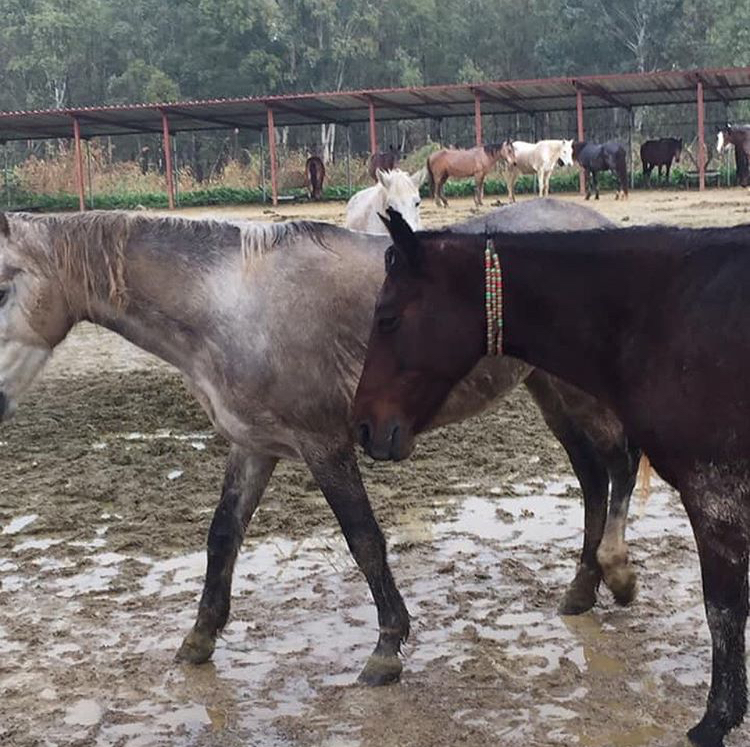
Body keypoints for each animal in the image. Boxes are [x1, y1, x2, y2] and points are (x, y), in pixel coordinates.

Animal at [0, 201, 639, 694]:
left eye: (4, 285)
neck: (232, 306)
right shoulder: (255, 446)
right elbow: (222, 536)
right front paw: (199, 639)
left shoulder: (325, 445)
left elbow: (364, 541)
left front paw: (386, 650)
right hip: (547, 387)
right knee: (591, 474)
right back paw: (582, 590)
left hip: (579, 391)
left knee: (620, 462)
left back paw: (618, 575)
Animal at [354, 209, 750, 747]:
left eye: (388, 318)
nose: (363, 426)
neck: (665, 310)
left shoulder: (716, 496)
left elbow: (722, 611)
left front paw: (716, 719)